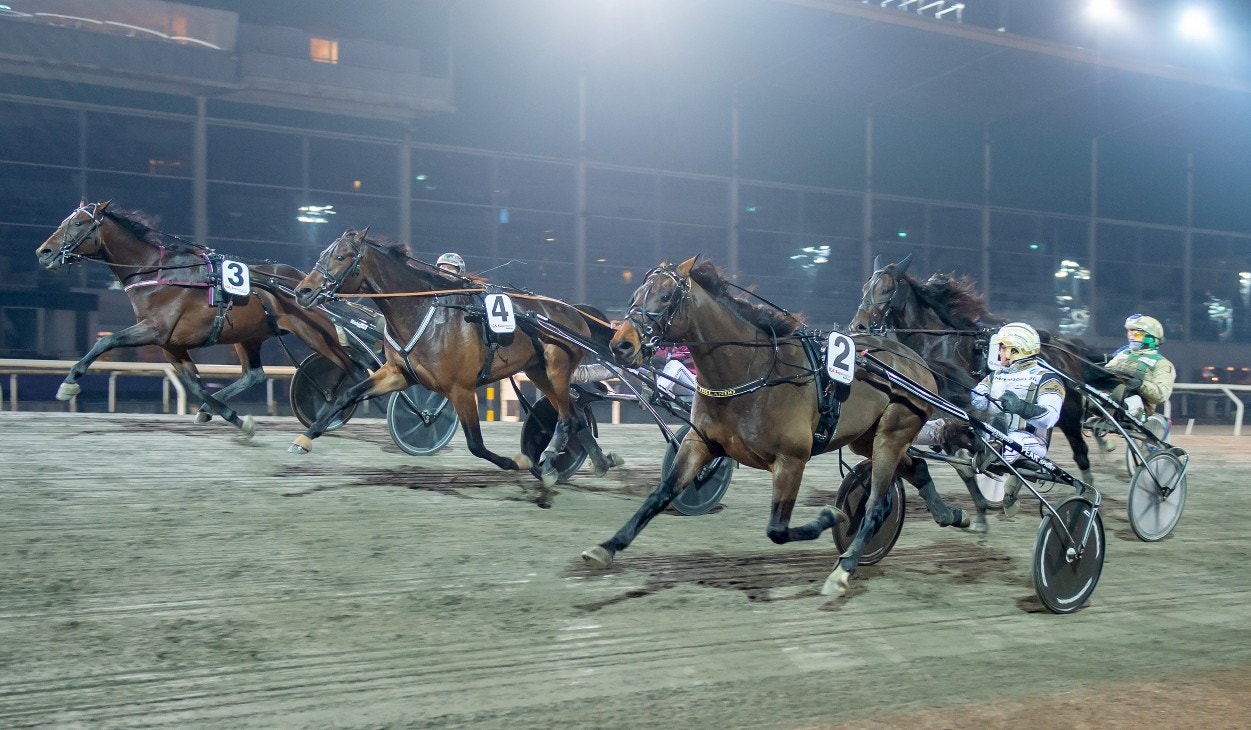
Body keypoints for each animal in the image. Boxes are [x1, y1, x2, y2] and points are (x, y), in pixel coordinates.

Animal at [34, 200, 359, 437]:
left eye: (78, 223)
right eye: (64, 221)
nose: (43, 252)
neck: (157, 272)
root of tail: (308, 282)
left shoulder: (155, 330)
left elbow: (105, 342)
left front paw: (68, 384)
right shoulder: (171, 345)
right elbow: (195, 385)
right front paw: (232, 417)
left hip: (314, 332)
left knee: (351, 367)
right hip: (248, 335)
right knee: (254, 374)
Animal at [292, 227, 622, 488]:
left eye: (341, 257)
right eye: (323, 253)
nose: (303, 290)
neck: (424, 311)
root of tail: (576, 311)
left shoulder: (460, 389)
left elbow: (476, 444)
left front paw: (519, 462)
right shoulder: (398, 373)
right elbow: (347, 394)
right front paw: (305, 437)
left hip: (556, 371)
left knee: (567, 419)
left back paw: (550, 460)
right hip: (540, 373)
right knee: (575, 417)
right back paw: (597, 461)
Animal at [584, 255, 982, 596]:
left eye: (666, 296)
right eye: (634, 296)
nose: (621, 345)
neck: (752, 370)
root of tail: (917, 361)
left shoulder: (791, 460)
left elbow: (777, 529)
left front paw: (830, 515)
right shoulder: (700, 444)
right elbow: (659, 495)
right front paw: (606, 547)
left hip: (892, 434)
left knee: (875, 504)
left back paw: (844, 568)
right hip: (867, 438)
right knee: (917, 469)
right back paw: (954, 515)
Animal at [848, 254, 1116, 485]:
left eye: (886, 289)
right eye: (864, 288)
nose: (858, 325)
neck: (936, 341)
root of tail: (1064, 349)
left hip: (1069, 413)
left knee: (1080, 452)